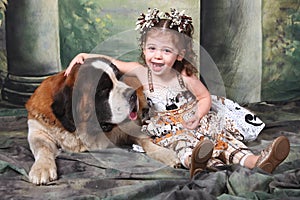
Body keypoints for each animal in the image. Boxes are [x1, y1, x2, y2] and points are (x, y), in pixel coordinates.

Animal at [25, 57, 178, 184]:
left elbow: (146, 140)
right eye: (104, 88)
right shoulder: (38, 129)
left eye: (119, 77)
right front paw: (42, 168)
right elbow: (42, 147)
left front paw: (165, 154)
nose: (132, 94)